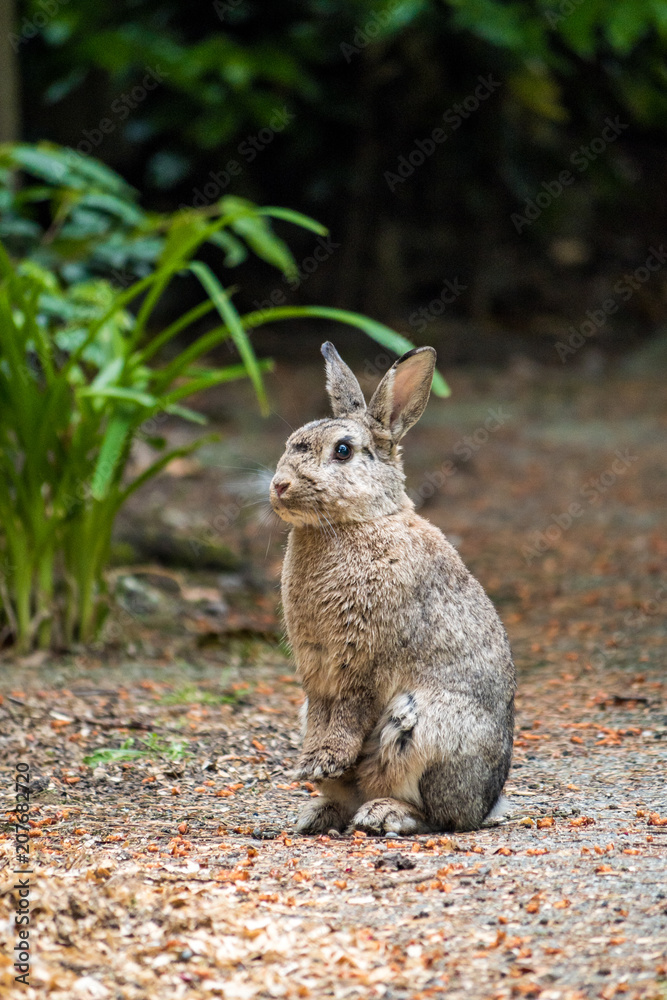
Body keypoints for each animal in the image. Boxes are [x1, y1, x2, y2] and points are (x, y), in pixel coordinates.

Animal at [269, 342, 515, 835]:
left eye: (343, 451)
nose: (279, 486)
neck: (357, 522)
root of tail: (486, 803)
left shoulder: (362, 656)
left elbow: (349, 709)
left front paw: (323, 761)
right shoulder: (314, 666)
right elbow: (322, 710)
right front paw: (311, 765)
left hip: (423, 728)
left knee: (439, 817)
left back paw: (384, 814)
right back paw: (316, 814)